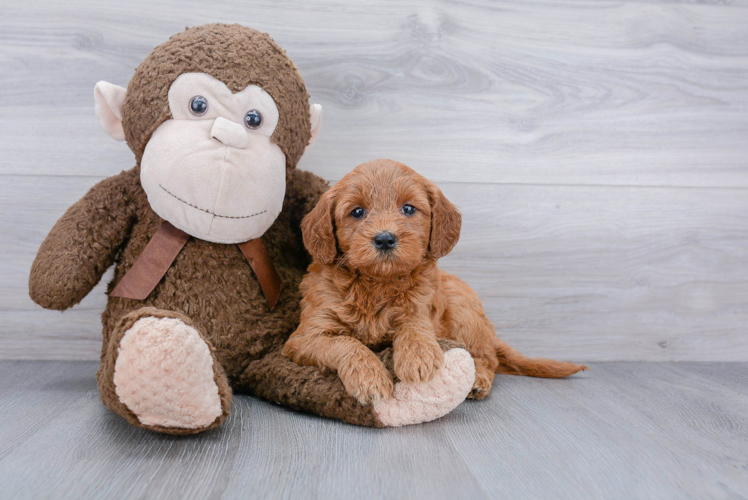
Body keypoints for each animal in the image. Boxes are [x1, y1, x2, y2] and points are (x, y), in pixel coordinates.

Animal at [284, 161, 588, 406]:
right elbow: (346, 343)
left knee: (487, 358)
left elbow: (413, 324)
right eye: (357, 212)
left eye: (408, 208)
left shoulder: (422, 305)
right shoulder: (306, 336)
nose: (385, 238)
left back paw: (479, 381)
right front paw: (370, 378)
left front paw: (417, 357)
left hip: (465, 312)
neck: (377, 283)